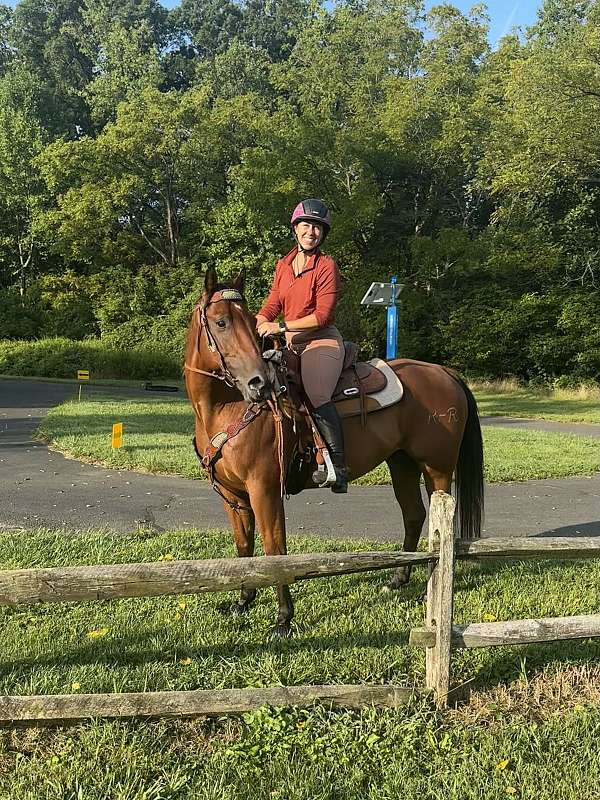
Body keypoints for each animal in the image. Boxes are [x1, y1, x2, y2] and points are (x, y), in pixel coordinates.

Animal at [183, 268, 482, 636]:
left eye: (252, 324)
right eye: (221, 322)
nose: (260, 383)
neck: (226, 408)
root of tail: (444, 372)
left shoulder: (264, 489)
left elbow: (274, 548)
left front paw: (283, 618)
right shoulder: (232, 495)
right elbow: (244, 547)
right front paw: (243, 601)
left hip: (436, 469)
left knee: (441, 527)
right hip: (402, 463)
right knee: (413, 515)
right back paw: (398, 580)